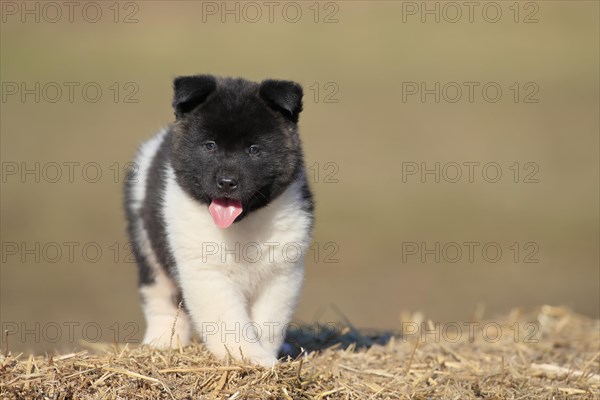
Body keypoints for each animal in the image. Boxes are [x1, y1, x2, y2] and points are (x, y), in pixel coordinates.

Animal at [125, 75, 316, 366]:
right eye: (210, 145)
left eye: (254, 149)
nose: (227, 182)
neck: (242, 228)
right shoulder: (206, 272)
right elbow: (229, 321)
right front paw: (249, 356)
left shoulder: (281, 272)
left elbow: (269, 322)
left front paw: (266, 357)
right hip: (147, 247)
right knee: (159, 296)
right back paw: (162, 342)